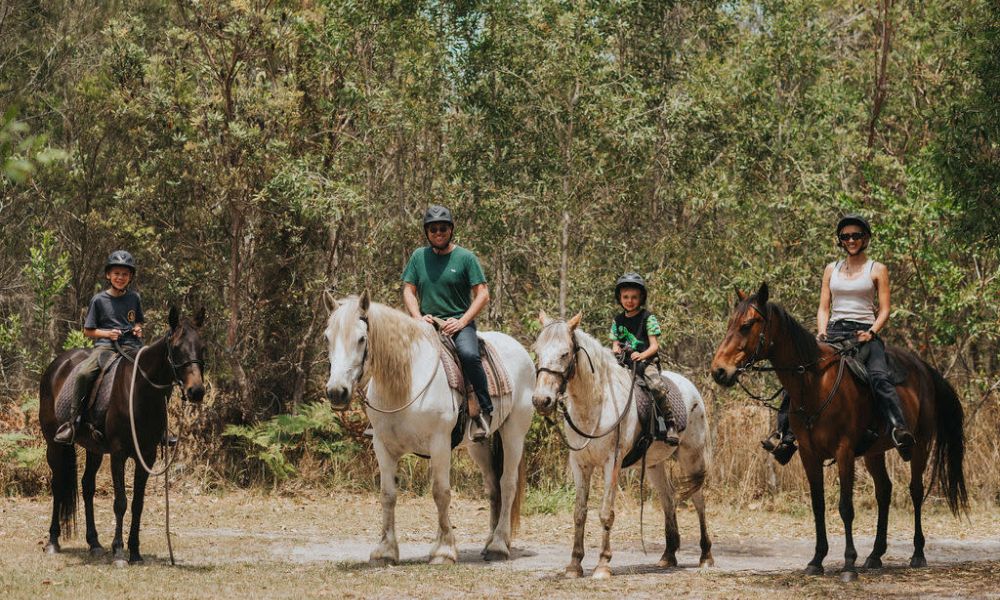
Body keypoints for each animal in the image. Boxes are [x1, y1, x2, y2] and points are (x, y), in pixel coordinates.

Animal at [38, 306, 206, 567]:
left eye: (202, 347)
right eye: (177, 347)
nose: (196, 391)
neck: (140, 391)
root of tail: (58, 364)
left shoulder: (146, 455)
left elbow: (137, 504)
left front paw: (135, 552)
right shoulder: (118, 454)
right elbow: (120, 503)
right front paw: (118, 552)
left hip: (94, 449)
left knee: (87, 487)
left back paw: (95, 544)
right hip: (53, 446)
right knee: (58, 486)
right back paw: (53, 542)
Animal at [322, 291, 535, 565]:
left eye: (361, 339)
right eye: (327, 337)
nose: (337, 392)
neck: (406, 384)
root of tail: (521, 350)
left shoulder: (440, 443)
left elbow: (440, 493)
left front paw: (444, 551)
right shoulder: (382, 446)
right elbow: (387, 494)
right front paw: (385, 551)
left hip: (514, 434)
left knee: (507, 484)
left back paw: (499, 546)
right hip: (479, 444)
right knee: (493, 487)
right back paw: (491, 543)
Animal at [531, 311, 713, 579]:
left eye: (564, 353)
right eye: (537, 351)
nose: (541, 400)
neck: (596, 403)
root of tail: (690, 387)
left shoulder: (612, 462)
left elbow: (606, 512)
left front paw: (603, 565)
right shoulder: (580, 464)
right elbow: (579, 513)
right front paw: (574, 565)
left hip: (692, 458)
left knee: (699, 499)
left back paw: (706, 556)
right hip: (655, 465)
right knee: (668, 499)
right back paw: (668, 555)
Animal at [710, 283, 967, 581]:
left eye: (747, 325)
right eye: (731, 323)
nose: (719, 371)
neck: (815, 383)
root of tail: (924, 368)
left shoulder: (844, 452)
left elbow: (845, 507)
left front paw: (848, 564)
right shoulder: (809, 455)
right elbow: (818, 505)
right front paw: (817, 560)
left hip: (920, 445)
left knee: (915, 490)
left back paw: (917, 554)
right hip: (874, 453)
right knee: (884, 491)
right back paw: (875, 555)